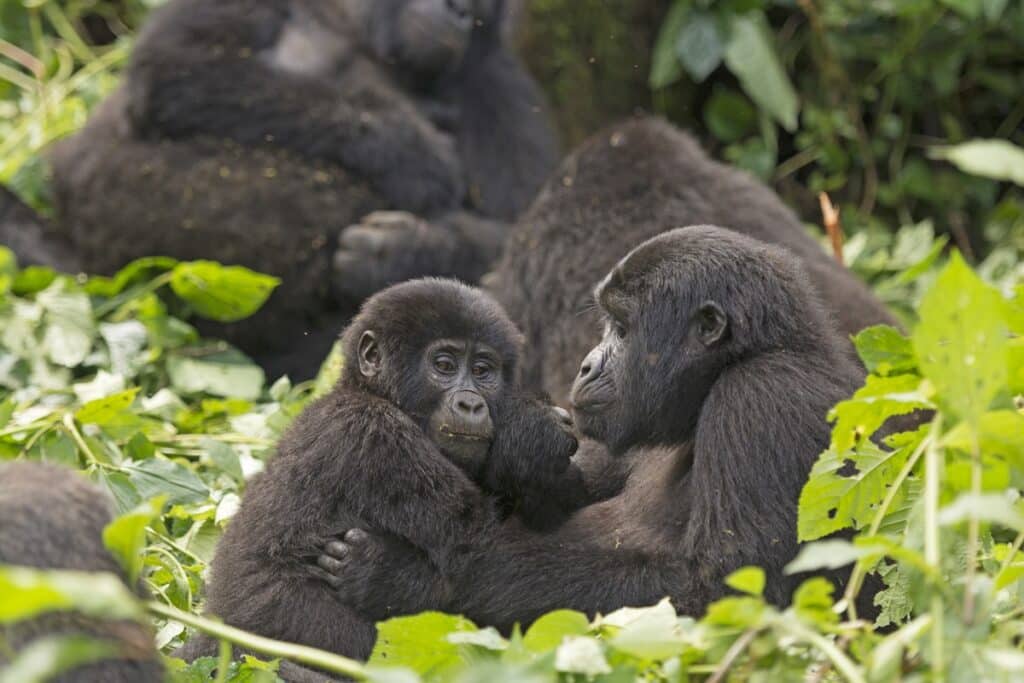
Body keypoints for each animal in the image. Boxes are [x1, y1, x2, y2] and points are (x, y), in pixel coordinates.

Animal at [51, 0, 557, 378]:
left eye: (481, 4)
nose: (460, 9)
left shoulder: (495, 81)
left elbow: (516, 235)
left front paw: (400, 250)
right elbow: (181, 64)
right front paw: (407, 150)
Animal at [317, 227, 872, 634]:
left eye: (622, 331)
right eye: (608, 325)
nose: (585, 366)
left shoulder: (762, 397)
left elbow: (724, 595)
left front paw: (410, 579)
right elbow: (564, 493)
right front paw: (525, 439)